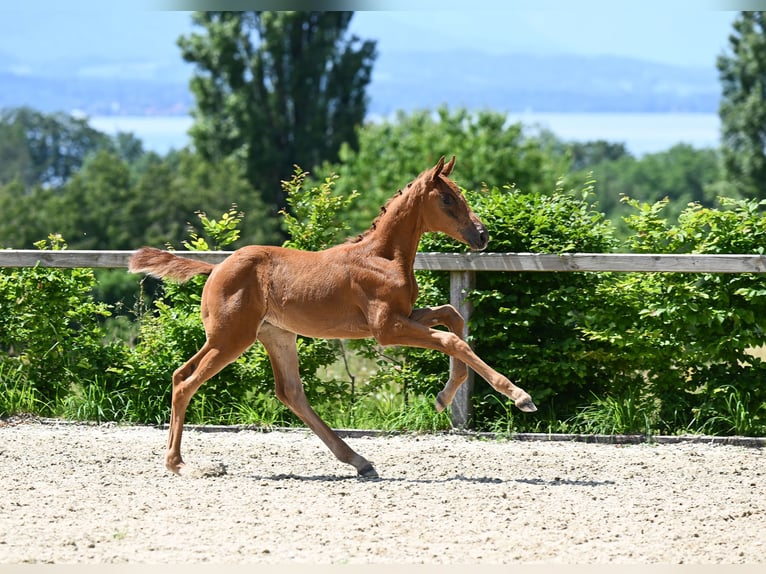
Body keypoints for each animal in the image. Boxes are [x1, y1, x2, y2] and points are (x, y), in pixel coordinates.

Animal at [128, 156, 537, 479]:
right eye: (449, 199)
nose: (482, 236)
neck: (383, 257)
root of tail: (214, 269)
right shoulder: (386, 328)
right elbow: (452, 338)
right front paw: (519, 396)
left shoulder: (405, 316)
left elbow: (453, 317)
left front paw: (443, 397)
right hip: (232, 337)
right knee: (186, 381)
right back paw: (181, 465)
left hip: (273, 335)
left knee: (285, 391)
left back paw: (359, 461)